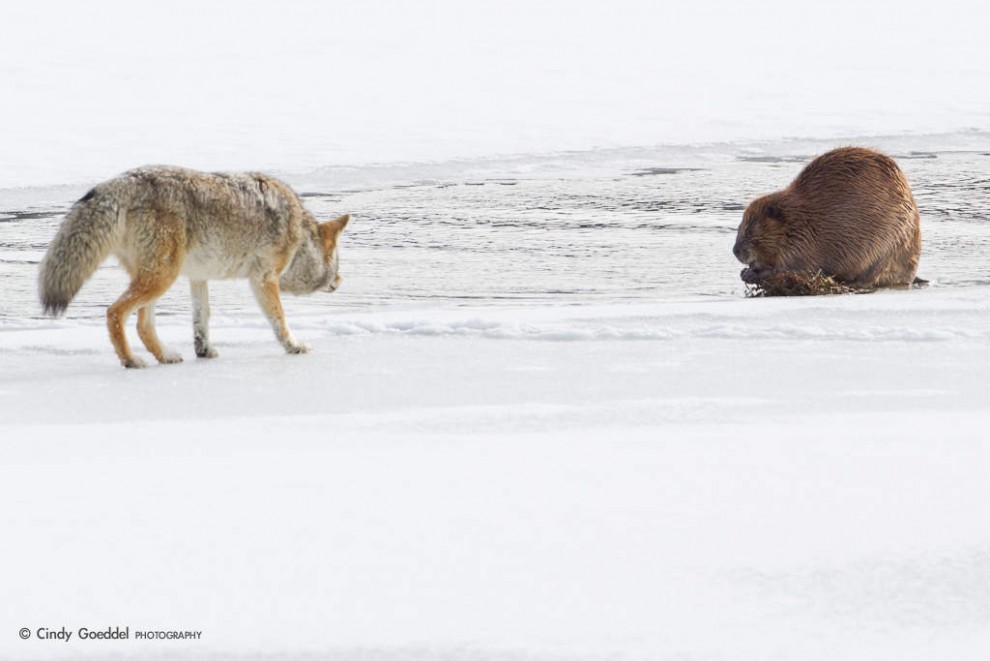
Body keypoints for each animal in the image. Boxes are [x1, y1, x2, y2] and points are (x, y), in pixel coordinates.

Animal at [736, 148, 924, 290]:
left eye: (750, 229)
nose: (735, 251)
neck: (800, 218)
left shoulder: (805, 244)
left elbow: (793, 267)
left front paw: (752, 273)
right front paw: (748, 271)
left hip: (890, 244)